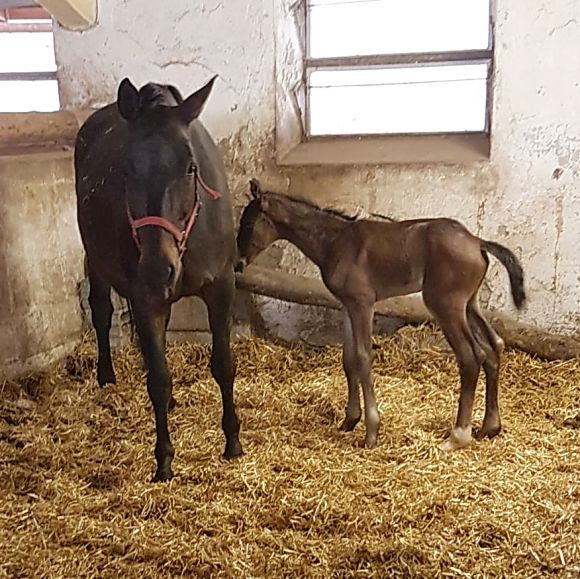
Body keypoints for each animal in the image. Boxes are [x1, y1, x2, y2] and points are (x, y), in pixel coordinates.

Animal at [236, 181, 524, 454]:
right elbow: (348, 359)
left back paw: (458, 436)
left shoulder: (363, 304)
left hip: (445, 305)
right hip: (469, 303)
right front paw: (350, 420)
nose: (238, 264)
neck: (335, 242)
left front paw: (371, 431)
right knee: (493, 346)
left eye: (248, 223)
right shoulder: (347, 305)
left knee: (470, 356)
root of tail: (477, 242)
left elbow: (364, 357)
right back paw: (490, 426)